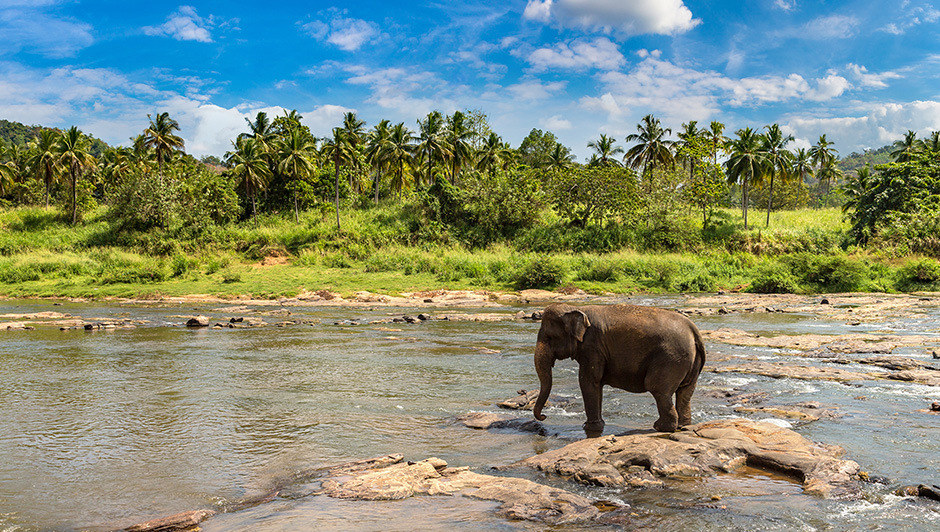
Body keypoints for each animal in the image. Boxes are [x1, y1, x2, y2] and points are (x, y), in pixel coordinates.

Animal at [532, 303, 706, 438]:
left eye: (550, 337)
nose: (544, 416)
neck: (578, 308)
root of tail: (694, 331)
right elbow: (596, 384)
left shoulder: (592, 347)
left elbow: (588, 381)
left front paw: (590, 428)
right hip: (689, 362)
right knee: (685, 391)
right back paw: (683, 426)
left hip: (671, 357)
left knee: (658, 389)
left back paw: (660, 427)